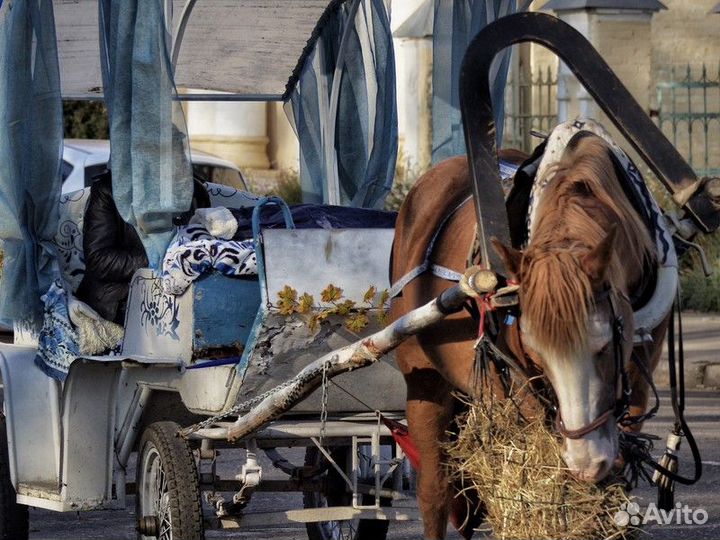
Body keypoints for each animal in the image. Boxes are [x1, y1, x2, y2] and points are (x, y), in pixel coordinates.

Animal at [390, 132, 672, 540]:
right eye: (537, 356)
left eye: (604, 346)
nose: (586, 463)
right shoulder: (521, 393)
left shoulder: (636, 378)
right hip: (424, 383)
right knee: (435, 491)